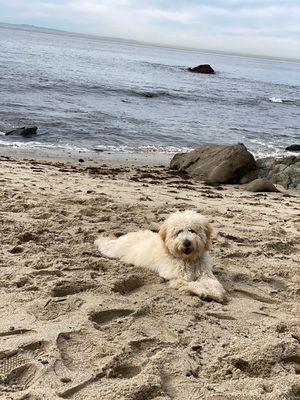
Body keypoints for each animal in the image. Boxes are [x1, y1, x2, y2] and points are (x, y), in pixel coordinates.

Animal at [95, 211, 226, 302]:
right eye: (179, 232)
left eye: (192, 231)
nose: (187, 242)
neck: (187, 260)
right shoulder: (177, 277)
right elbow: (192, 284)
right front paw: (203, 291)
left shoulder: (205, 274)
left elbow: (213, 283)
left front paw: (215, 292)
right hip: (114, 250)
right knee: (104, 244)